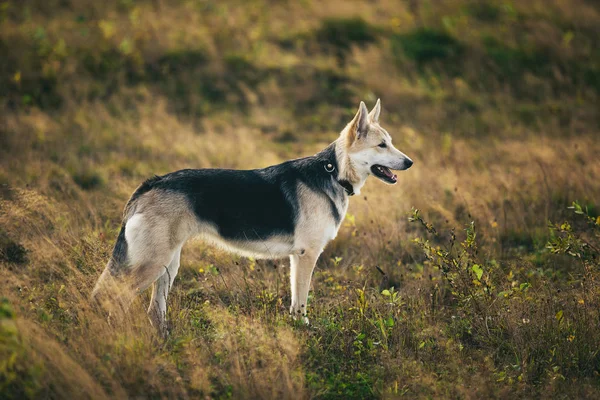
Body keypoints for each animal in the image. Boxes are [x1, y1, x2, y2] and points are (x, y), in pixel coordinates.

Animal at [92, 99, 412, 334]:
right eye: (381, 145)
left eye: (391, 142)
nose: (410, 162)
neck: (333, 172)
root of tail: (152, 183)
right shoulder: (307, 256)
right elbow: (302, 302)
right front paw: (305, 331)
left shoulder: (296, 258)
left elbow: (295, 301)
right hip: (152, 264)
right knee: (111, 298)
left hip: (168, 265)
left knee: (152, 310)